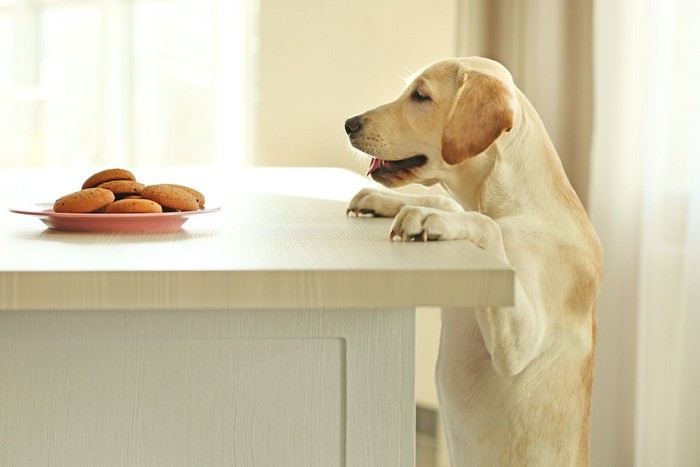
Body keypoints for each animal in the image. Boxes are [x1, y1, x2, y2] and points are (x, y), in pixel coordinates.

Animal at [344, 58, 600, 467]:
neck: (515, 203)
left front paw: (429, 219)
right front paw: (386, 201)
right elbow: (447, 201)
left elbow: (485, 225)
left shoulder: (518, 347)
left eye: (421, 96)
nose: (349, 124)